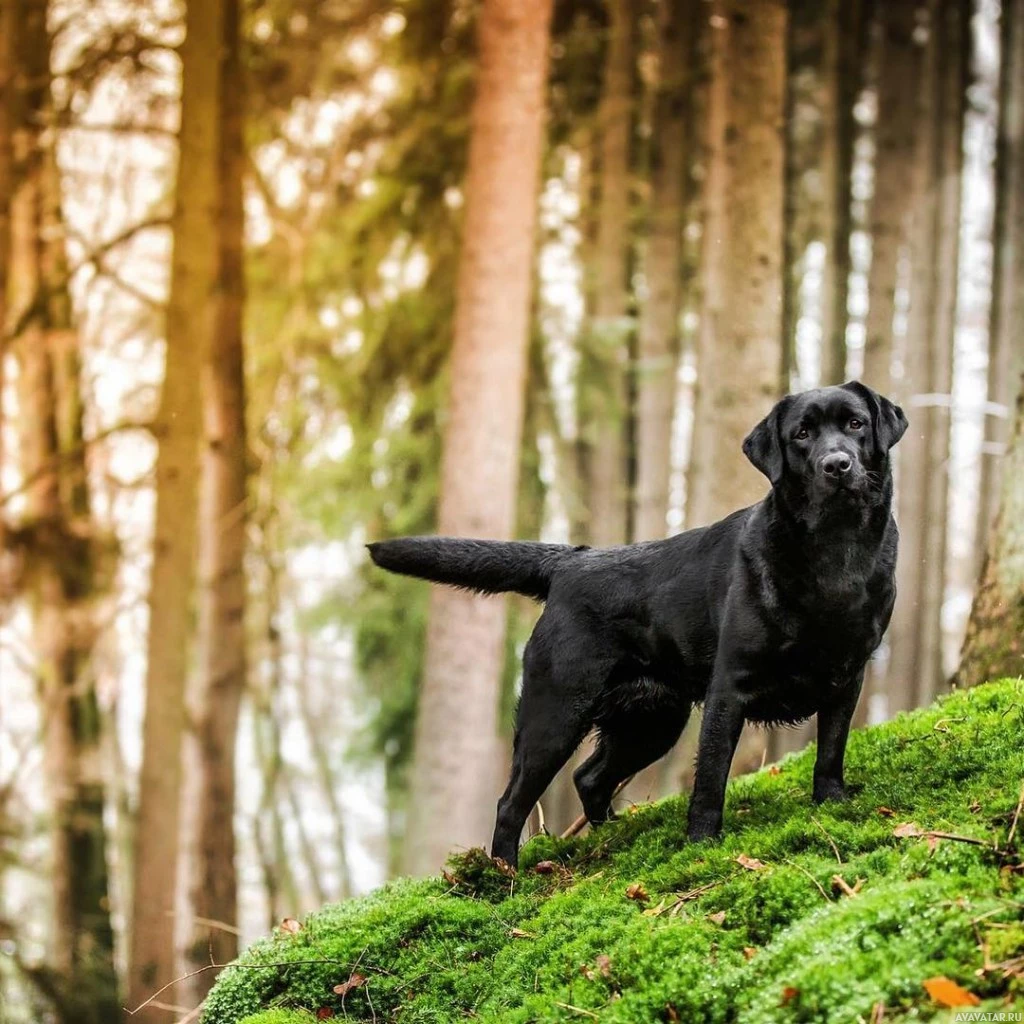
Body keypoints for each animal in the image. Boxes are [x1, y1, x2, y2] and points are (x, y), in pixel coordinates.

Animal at [368, 378, 905, 864]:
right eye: (802, 434)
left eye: (855, 424)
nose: (837, 465)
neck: (834, 554)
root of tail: (571, 561)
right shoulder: (729, 688)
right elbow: (711, 776)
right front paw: (702, 844)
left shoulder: (848, 677)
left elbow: (830, 749)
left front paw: (831, 803)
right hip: (556, 712)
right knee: (512, 802)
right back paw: (505, 879)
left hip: (651, 719)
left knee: (589, 777)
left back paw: (612, 834)